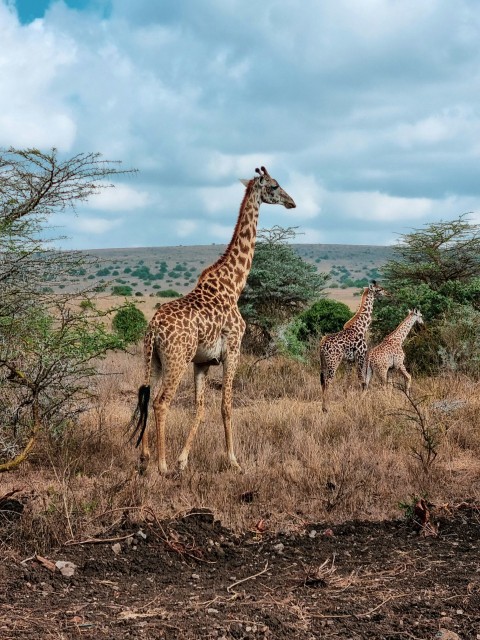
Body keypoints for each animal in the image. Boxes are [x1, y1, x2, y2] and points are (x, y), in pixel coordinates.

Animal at [129, 166, 296, 476]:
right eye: (275, 186)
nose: (292, 202)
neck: (233, 285)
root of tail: (154, 328)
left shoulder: (203, 362)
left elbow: (200, 408)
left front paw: (184, 460)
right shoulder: (233, 350)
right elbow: (226, 406)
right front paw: (234, 461)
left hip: (153, 359)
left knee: (146, 395)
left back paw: (144, 459)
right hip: (177, 359)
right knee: (161, 402)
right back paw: (162, 465)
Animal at [318, 282, 390, 412]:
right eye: (379, 289)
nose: (389, 293)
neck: (362, 327)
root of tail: (321, 344)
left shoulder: (349, 360)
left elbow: (347, 383)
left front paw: (346, 404)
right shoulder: (360, 356)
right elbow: (362, 381)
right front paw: (361, 403)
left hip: (324, 363)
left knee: (322, 382)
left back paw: (323, 407)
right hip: (333, 362)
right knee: (328, 381)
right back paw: (326, 408)